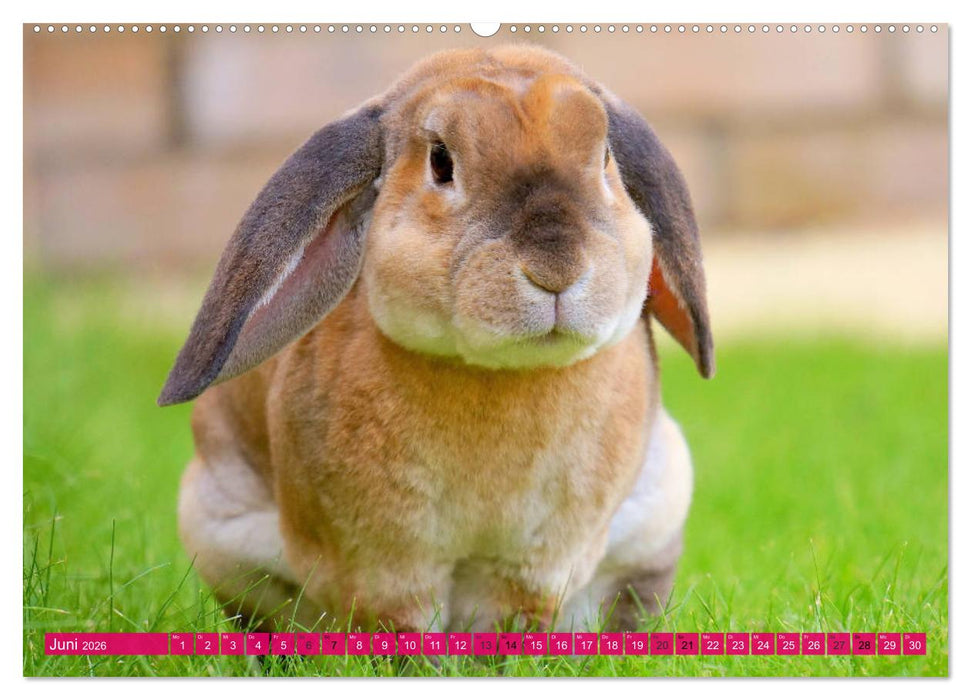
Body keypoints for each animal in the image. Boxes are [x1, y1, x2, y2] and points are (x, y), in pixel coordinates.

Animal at [159, 45, 713, 634]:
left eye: (605, 157)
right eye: (441, 162)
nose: (556, 269)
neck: (499, 374)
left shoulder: (534, 564)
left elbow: (512, 618)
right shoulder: (386, 562)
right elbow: (399, 621)